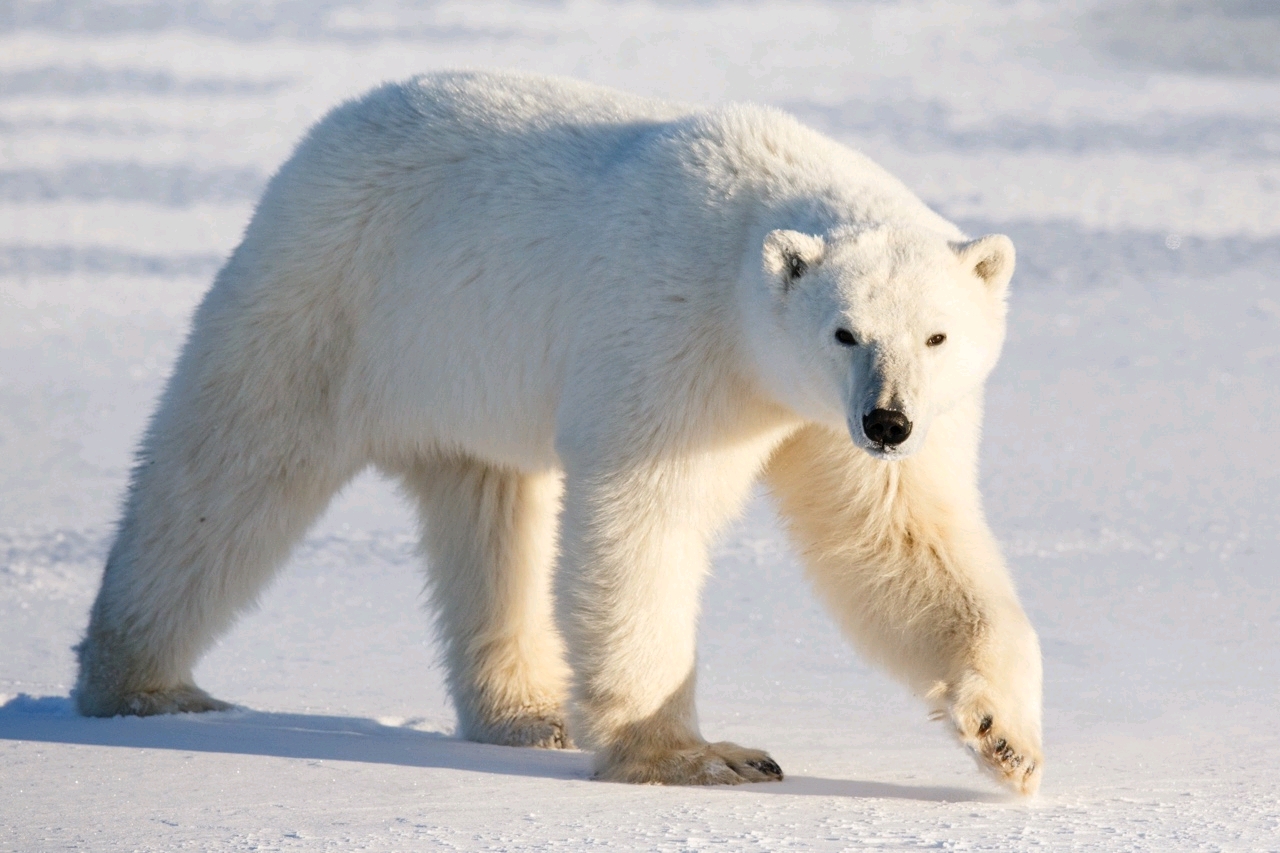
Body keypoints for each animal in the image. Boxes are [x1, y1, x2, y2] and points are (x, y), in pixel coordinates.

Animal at [74, 71, 1044, 788]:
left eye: (936, 334)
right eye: (844, 330)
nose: (887, 420)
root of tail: (329, 129)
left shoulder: (833, 417)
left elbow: (900, 539)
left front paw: (1006, 737)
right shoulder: (674, 338)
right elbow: (644, 521)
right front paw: (699, 755)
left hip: (465, 383)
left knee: (491, 517)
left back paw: (528, 711)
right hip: (331, 295)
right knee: (228, 470)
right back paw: (142, 683)